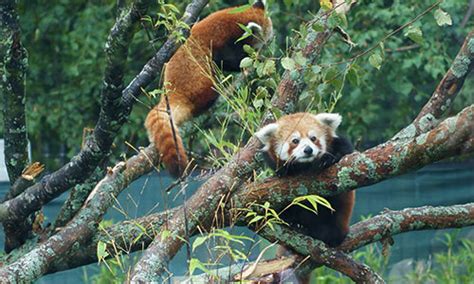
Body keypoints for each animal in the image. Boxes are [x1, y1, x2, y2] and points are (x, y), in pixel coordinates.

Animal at [146, 0, 276, 178]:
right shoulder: (223, 40)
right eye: (265, 41)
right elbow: (230, 60)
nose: (270, 43)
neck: (236, 18)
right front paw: (254, 60)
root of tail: (171, 93)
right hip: (197, 81)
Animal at [254, 112, 354, 246]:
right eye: (295, 141)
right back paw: (297, 225)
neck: (304, 166)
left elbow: (345, 152)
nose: (308, 150)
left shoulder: (341, 145)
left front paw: (327, 159)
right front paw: (283, 171)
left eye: (313, 138)